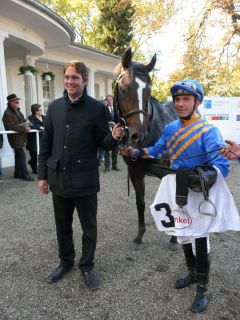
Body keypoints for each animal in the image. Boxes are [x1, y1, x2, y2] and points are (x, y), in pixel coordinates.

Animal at [113, 47, 179, 248]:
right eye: (123, 89)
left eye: (148, 91)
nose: (138, 136)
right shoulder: (135, 172)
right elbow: (140, 202)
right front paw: (140, 235)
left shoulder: (167, 172)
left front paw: (174, 238)